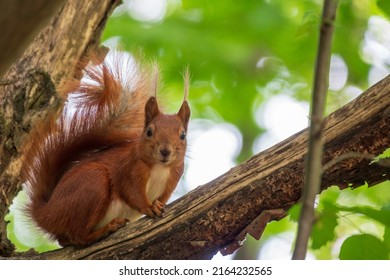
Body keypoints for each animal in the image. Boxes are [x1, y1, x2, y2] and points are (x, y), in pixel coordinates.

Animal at [21, 49, 190, 245]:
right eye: (149, 131)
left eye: (182, 135)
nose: (165, 151)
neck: (159, 168)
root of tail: (47, 214)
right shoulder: (129, 169)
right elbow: (132, 192)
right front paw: (149, 207)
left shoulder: (174, 176)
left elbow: (162, 198)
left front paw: (157, 204)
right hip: (93, 182)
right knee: (78, 237)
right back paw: (106, 229)